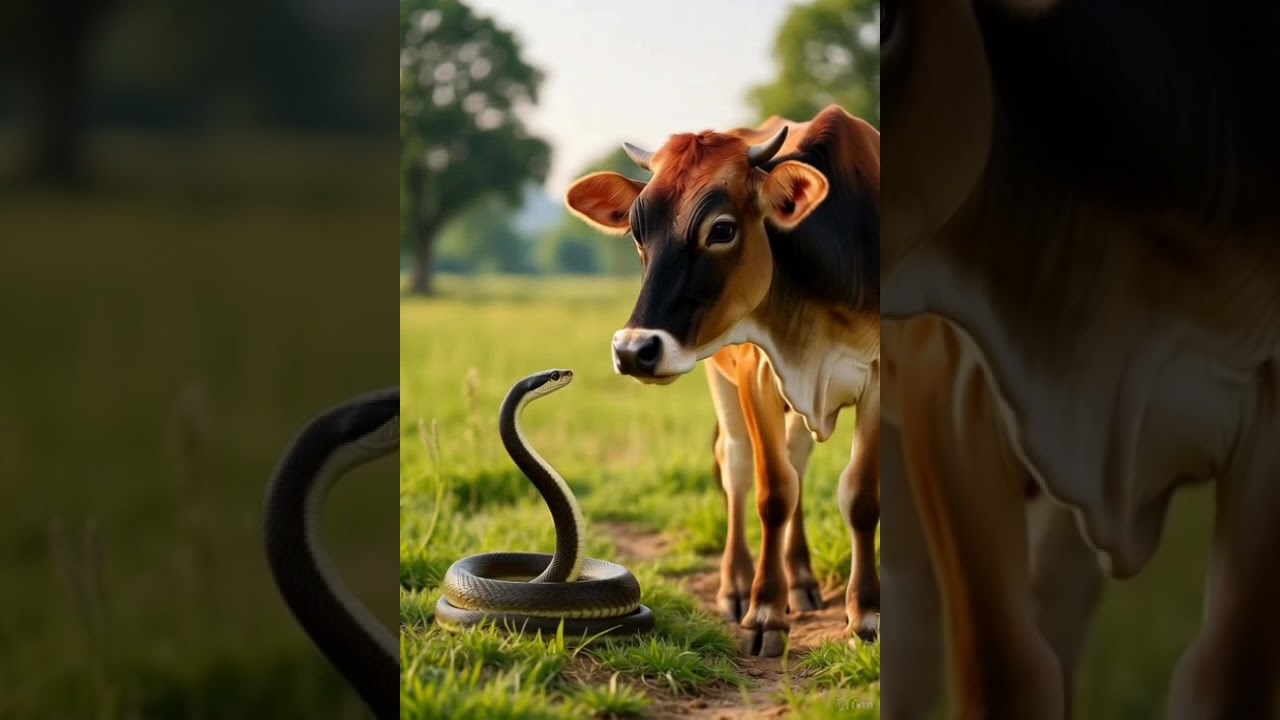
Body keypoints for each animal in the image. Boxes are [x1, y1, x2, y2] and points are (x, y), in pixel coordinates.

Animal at [564, 106, 881, 656]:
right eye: (637, 232)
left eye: (723, 229)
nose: (633, 350)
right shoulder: (757, 371)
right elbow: (773, 492)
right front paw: (765, 613)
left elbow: (860, 497)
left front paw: (865, 618)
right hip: (724, 382)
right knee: (737, 466)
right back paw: (736, 587)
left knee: (797, 461)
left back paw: (802, 580)